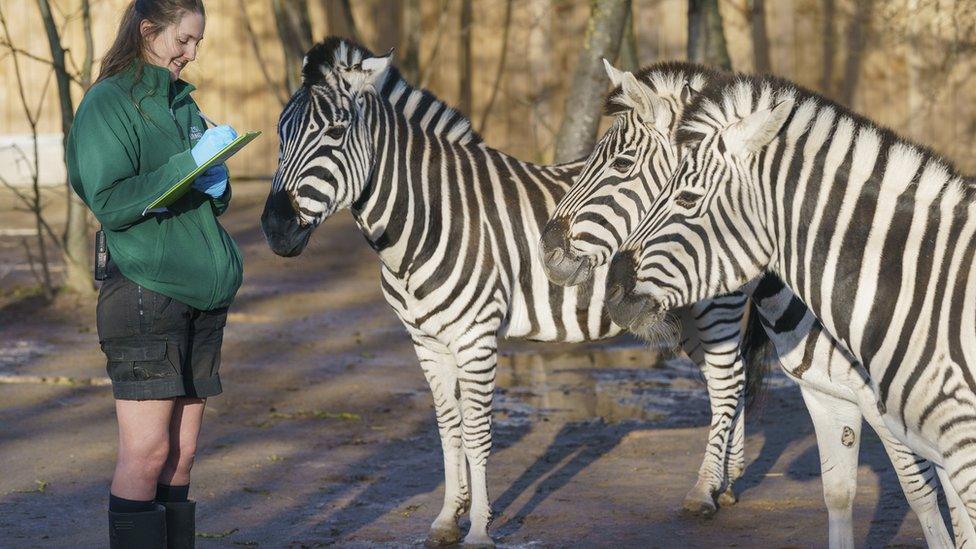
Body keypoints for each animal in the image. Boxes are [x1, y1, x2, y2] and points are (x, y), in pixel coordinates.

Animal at [264, 37, 768, 544]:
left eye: (335, 131)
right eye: (279, 133)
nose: (275, 228)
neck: (427, 222)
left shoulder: (476, 337)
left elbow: (477, 432)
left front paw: (479, 529)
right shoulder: (425, 341)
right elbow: (448, 427)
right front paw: (447, 517)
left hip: (715, 305)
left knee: (727, 382)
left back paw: (703, 493)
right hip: (683, 313)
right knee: (726, 379)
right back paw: (726, 484)